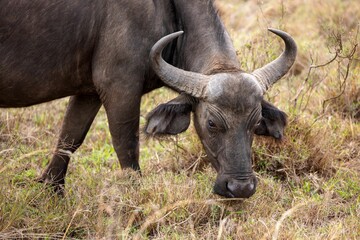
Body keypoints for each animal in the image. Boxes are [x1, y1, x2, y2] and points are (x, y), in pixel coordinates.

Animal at [0, 0, 296, 199]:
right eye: (212, 123)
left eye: (255, 122)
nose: (241, 188)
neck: (167, 9)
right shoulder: (120, 87)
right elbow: (127, 147)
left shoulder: (89, 92)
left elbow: (69, 138)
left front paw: (51, 192)